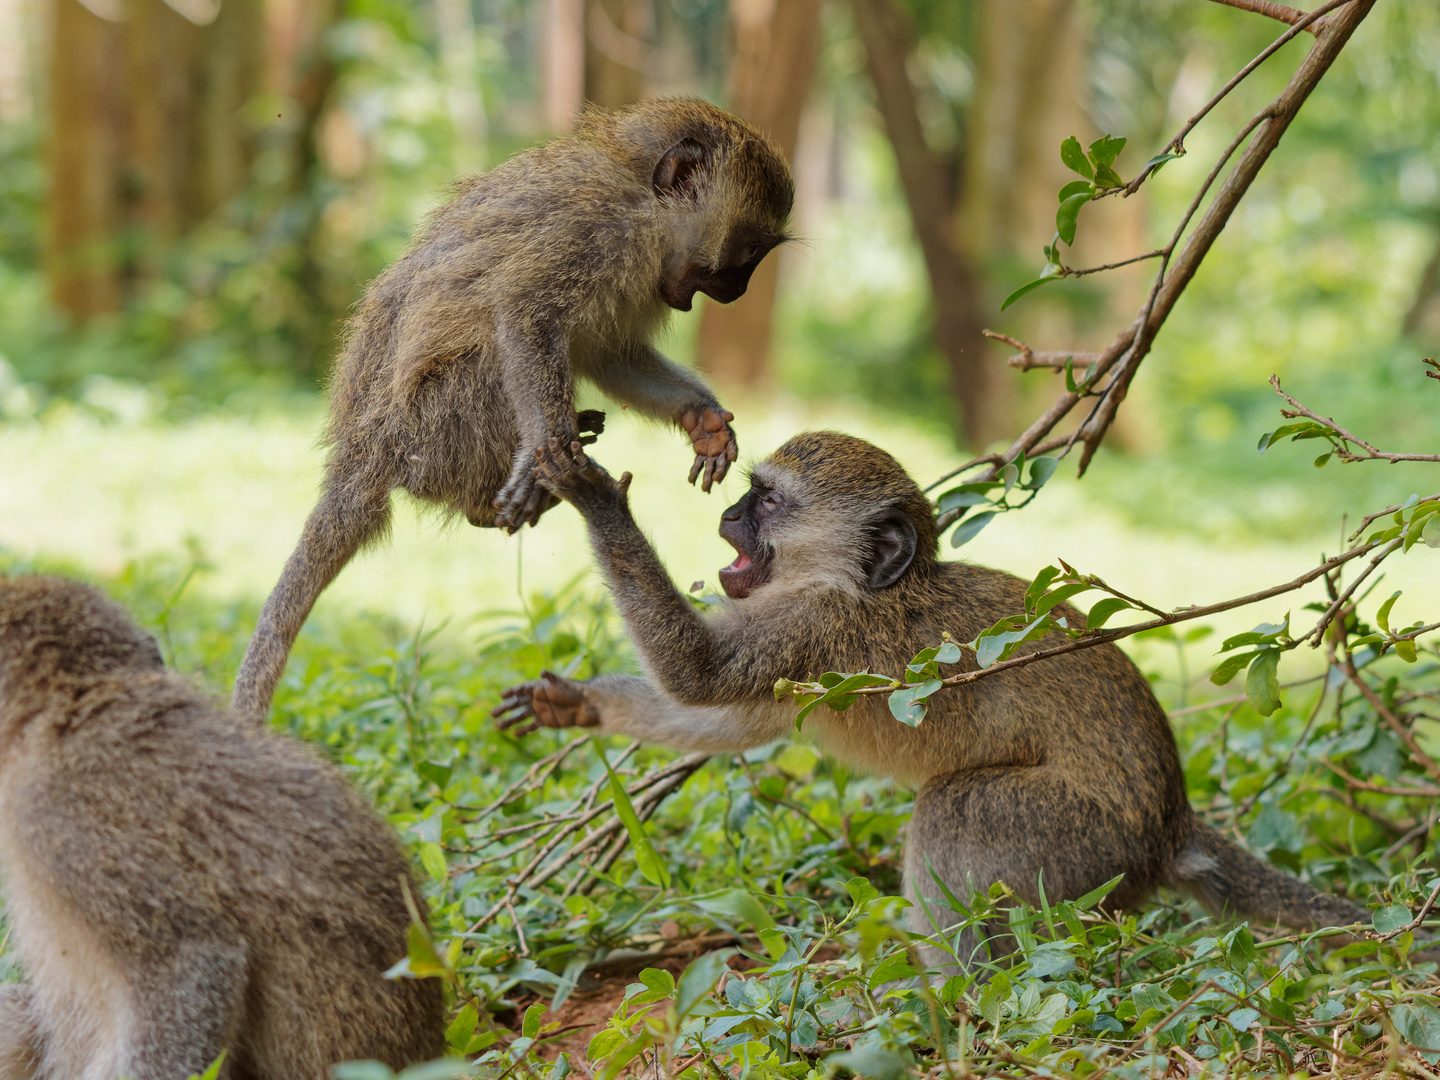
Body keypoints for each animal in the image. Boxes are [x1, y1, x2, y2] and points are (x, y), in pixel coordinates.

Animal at [236, 99, 800, 720]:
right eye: (747, 251)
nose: (738, 290)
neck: (638, 196)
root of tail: (363, 452)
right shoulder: (589, 233)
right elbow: (527, 314)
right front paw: (542, 457)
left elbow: (610, 353)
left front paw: (704, 420)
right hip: (432, 430)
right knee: (489, 353)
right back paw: (508, 487)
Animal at [498, 434, 1370, 967]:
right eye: (747, 497)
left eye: (768, 503)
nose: (726, 517)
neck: (866, 585)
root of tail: (1169, 825)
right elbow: (722, 717)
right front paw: (571, 702)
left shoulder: (822, 631)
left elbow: (698, 673)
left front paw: (593, 496)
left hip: (1084, 839)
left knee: (955, 810)